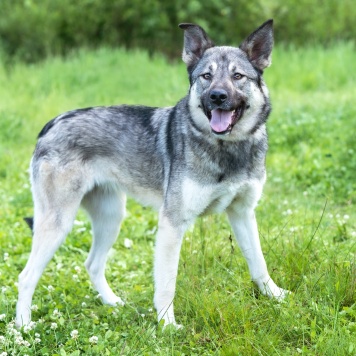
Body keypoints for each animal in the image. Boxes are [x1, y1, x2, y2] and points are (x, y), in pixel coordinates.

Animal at [16, 20, 290, 328]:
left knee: (92, 264)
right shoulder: (172, 224)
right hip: (59, 223)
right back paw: (23, 327)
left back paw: (113, 303)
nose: (217, 96)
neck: (226, 148)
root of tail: (52, 124)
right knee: (26, 277)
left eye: (238, 76)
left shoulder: (243, 213)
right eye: (206, 76)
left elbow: (258, 262)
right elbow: (167, 283)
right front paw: (167, 324)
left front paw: (275, 296)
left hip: (111, 218)